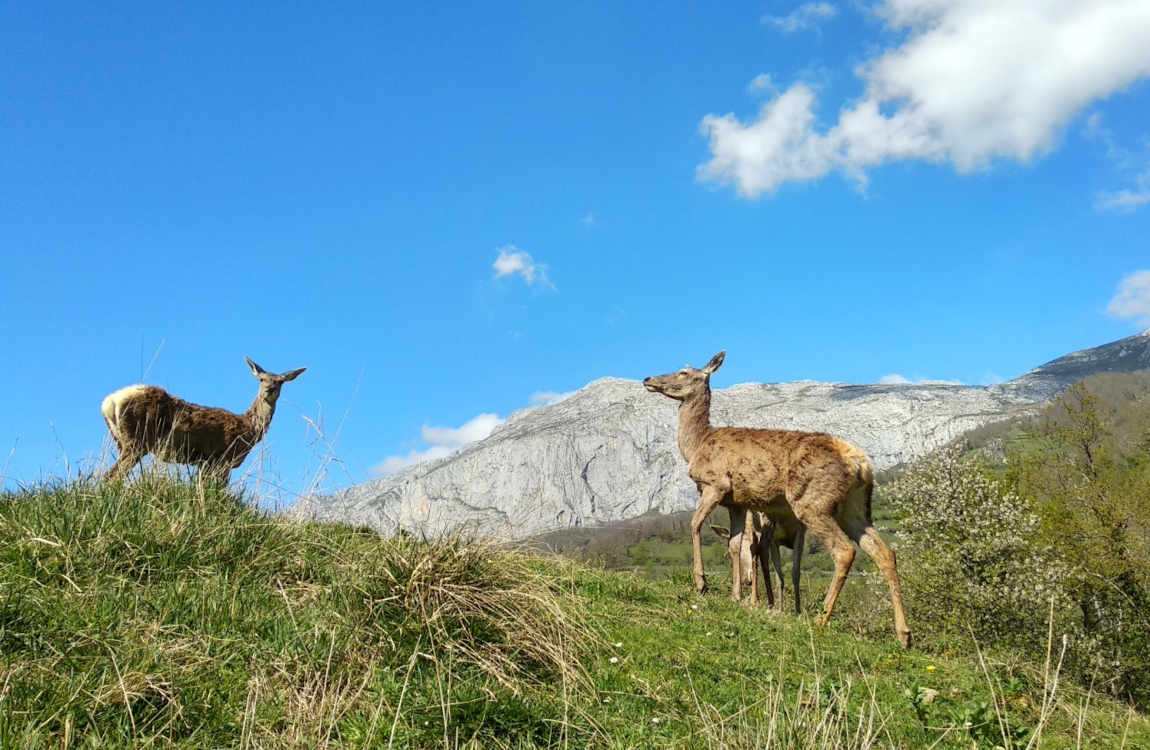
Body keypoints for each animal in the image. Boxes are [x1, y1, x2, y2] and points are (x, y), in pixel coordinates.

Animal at [101, 358, 305, 485]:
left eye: (281, 382)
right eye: (261, 379)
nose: (270, 389)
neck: (249, 431)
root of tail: (110, 402)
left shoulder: (205, 462)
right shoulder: (223, 458)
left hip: (120, 440)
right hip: (136, 440)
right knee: (111, 476)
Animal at [644, 349, 910, 648]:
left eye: (684, 372)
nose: (648, 379)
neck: (696, 446)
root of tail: (860, 463)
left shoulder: (716, 484)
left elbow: (694, 524)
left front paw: (701, 583)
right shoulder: (737, 502)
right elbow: (735, 544)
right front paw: (736, 596)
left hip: (811, 501)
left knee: (844, 551)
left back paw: (821, 619)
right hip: (854, 508)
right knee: (884, 552)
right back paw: (904, 635)